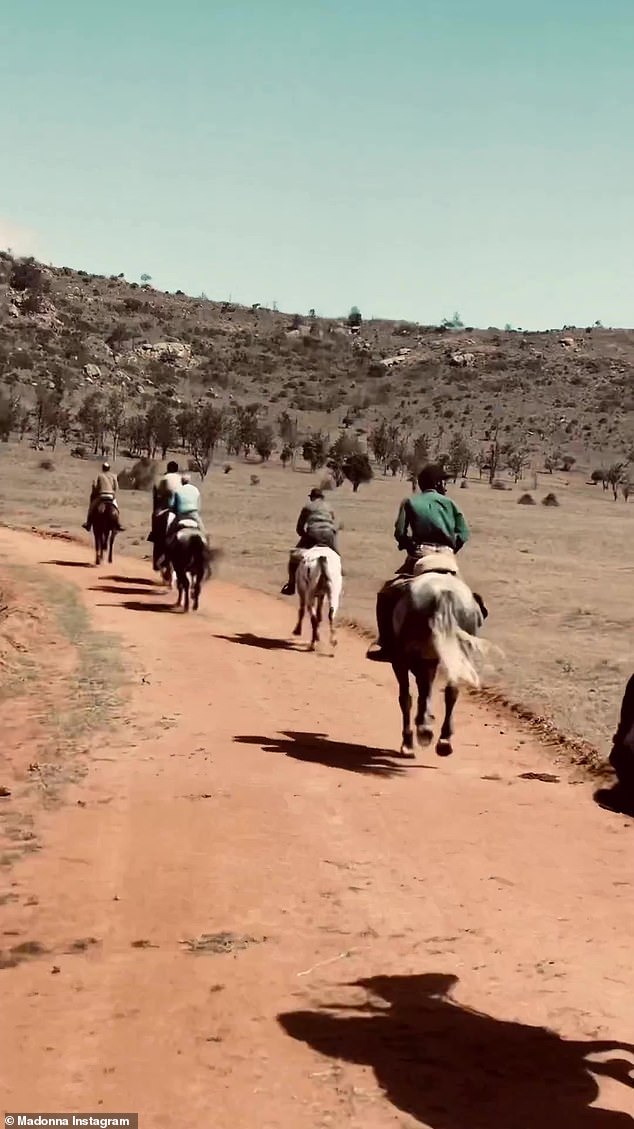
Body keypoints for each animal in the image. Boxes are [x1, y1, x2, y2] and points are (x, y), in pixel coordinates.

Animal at [385, 555, 489, 758]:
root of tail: (444, 593)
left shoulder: (401, 660)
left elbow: (407, 696)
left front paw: (412, 738)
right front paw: (424, 725)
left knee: (413, 693)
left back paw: (421, 736)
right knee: (451, 691)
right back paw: (444, 740)